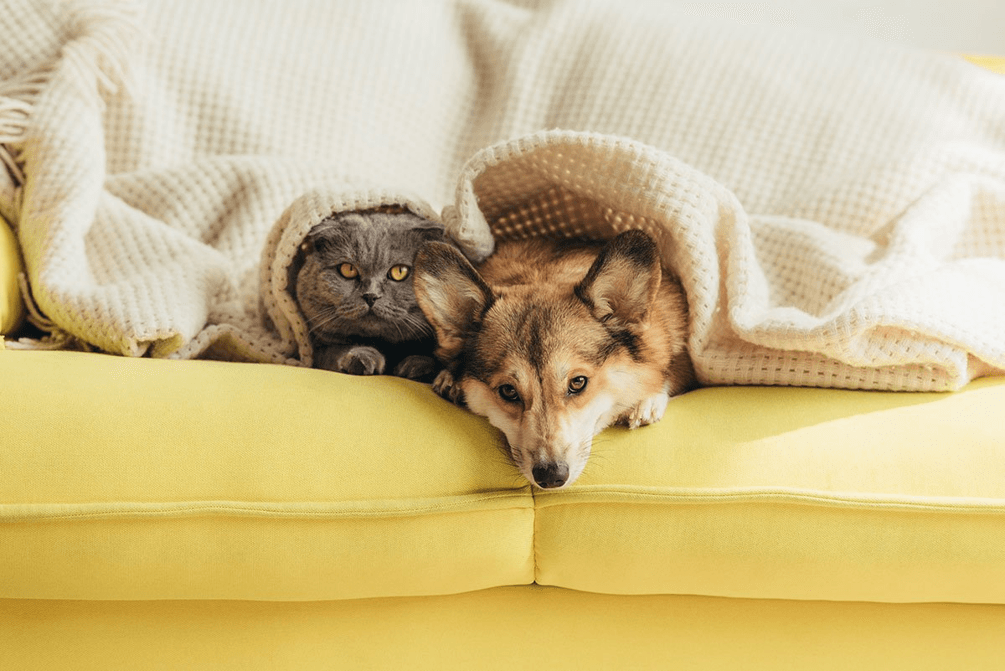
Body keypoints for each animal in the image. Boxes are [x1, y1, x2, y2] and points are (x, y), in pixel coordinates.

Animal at [293, 209, 446, 379]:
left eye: (400, 271)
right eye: (348, 269)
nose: (371, 296)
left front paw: (417, 365)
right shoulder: (320, 348)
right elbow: (334, 351)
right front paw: (363, 357)